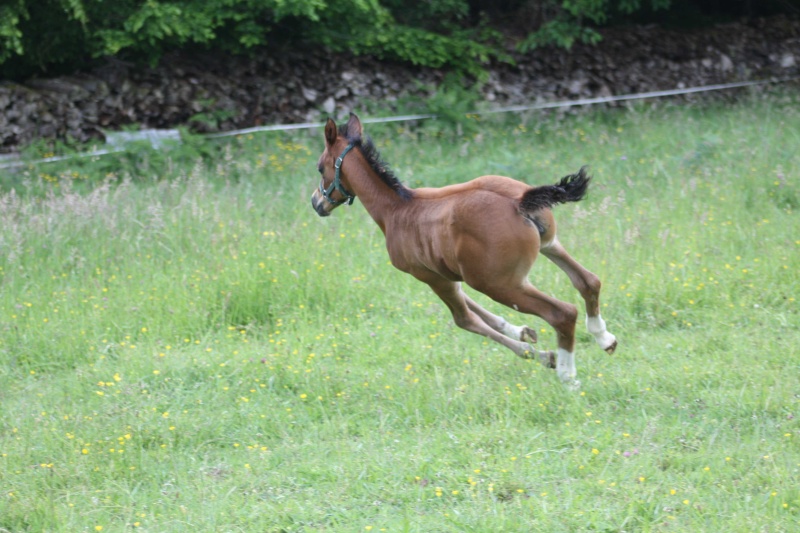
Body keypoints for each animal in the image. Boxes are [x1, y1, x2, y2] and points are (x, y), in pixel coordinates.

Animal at [310, 113, 616, 386]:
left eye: (320, 167)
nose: (316, 203)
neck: (396, 209)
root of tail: (518, 202)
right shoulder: (446, 273)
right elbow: (475, 308)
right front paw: (522, 331)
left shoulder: (430, 276)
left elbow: (465, 318)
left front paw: (539, 354)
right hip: (548, 246)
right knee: (588, 281)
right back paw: (604, 338)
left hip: (499, 283)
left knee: (562, 312)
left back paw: (568, 376)